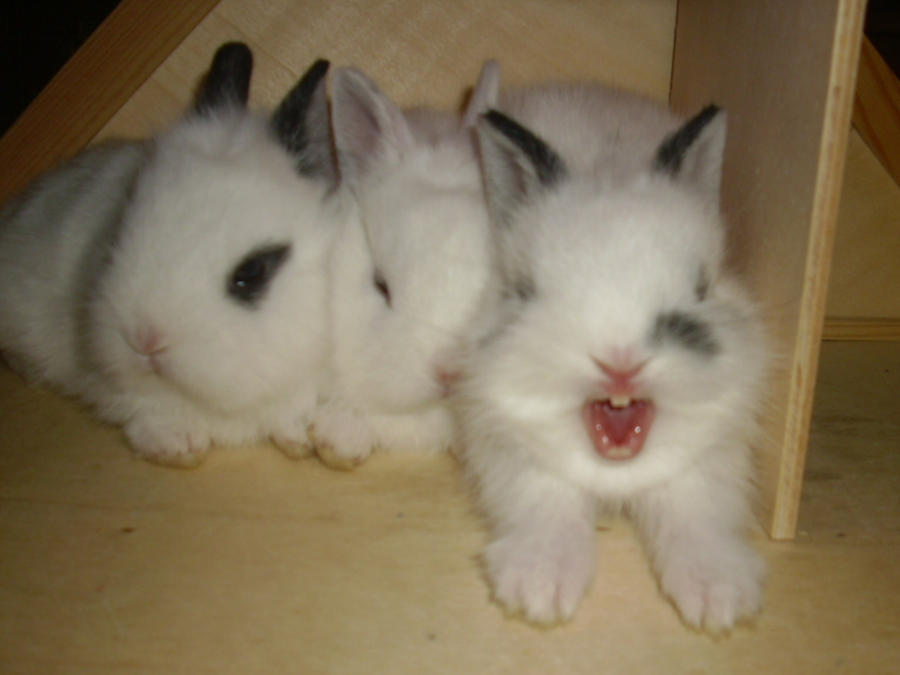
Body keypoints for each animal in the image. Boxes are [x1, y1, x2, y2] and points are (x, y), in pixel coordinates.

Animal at [0, 42, 343, 467]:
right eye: (121, 229)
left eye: (252, 272)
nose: (145, 340)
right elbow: (145, 411)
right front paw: (179, 447)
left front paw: (299, 439)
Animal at [458, 83, 770, 633]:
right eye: (528, 291)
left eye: (702, 286)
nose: (621, 362)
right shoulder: (513, 449)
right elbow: (546, 502)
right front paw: (540, 591)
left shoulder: (710, 454)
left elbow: (698, 509)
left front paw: (717, 600)